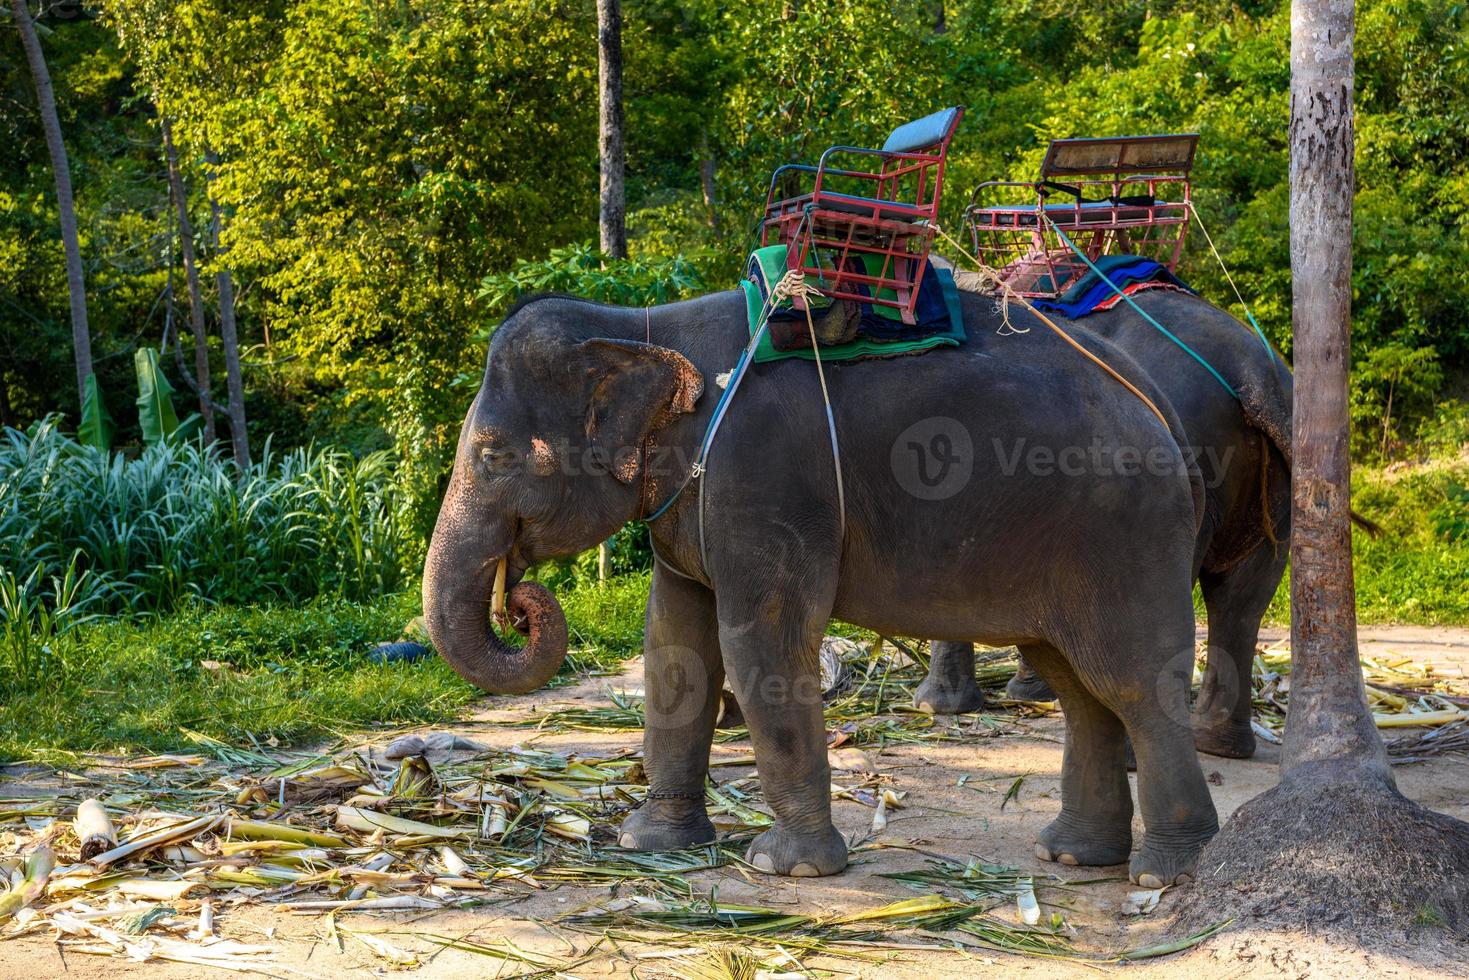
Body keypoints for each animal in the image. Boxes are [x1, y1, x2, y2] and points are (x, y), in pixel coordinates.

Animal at [428, 287, 1228, 887]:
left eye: (491, 455)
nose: (520, 604)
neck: (642, 325)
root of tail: (1155, 401)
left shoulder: (763, 478)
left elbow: (763, 643)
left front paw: (789, 869)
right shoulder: (690, 502)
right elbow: (674, 645)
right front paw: (649, 844)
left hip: (1122, 532)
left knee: (1130, 682)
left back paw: (1166, 873)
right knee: (1077, 685)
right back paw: (1071, 855)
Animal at [910, 282, 1304, 758]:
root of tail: (1254, 372)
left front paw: (936, 707)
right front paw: (1030, 693)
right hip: (1278, 485)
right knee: (1242, 603)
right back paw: (1219, 747)